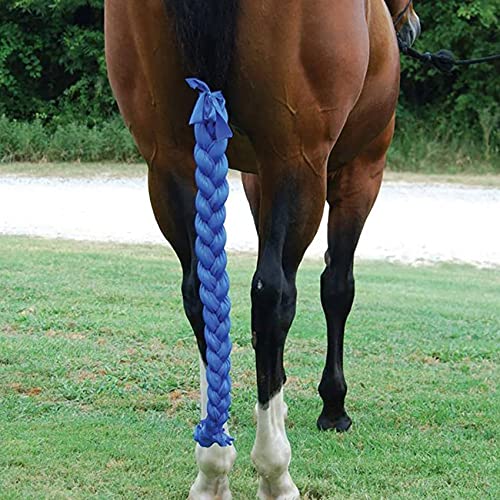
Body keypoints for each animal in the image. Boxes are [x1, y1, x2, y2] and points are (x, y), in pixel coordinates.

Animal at [105, 0, 422, 496]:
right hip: (298, 160)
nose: (410, 27)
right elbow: (337, 287)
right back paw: (275, 469)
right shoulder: (361, 170)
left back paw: (213, 463)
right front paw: (333, 405)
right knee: (273, 296)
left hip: (170, 162)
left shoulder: (254, 177)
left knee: (200, 295)